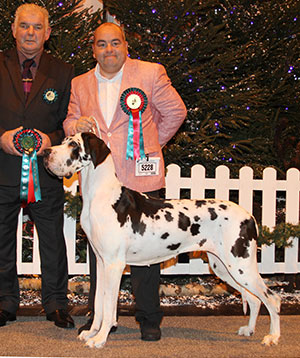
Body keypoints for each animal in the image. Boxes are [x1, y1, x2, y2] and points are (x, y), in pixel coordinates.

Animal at [43, 133, 280, 348]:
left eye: (74, 145)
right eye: (64, 141)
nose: (45, 152)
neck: (101, 195)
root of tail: (249, 216)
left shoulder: (114, 265)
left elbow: (109, 307)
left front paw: (101, 339)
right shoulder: (102, 263)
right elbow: (99, 304)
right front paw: (92, 333)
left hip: (241, 266)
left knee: (271, 298)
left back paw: (273, 337)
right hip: (224, 268)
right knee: (254, 299)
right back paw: (249, 329)